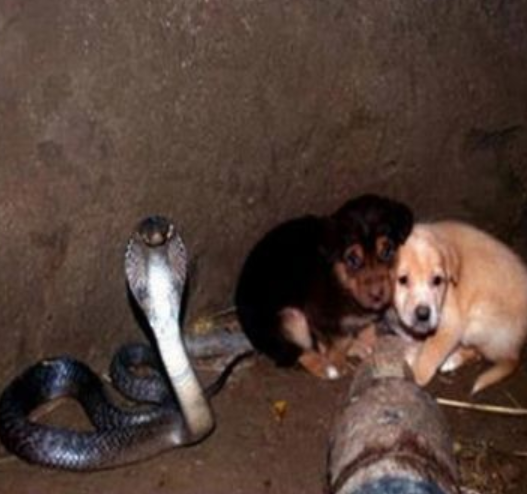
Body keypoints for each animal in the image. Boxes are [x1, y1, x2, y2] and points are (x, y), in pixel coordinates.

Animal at [237, 193, 414, 378]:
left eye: (387, 251)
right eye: (352, 260)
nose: (377, 295)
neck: (341, 283)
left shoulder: (364, 318)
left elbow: (367, 329)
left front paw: (370, 347)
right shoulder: (318, 315)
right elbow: (339, 340)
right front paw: (338, 363)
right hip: (289, 318)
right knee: (298, 351)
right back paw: (325, 368)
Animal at [394, 220, 527, 394]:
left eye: (437, 280)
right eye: (402, 280)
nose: (423, 314)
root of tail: (516, 348)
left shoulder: (450, 324)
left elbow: (428, 357)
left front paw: (414, 372)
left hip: (477, 321)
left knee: (482, 353)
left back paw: (452, 359)